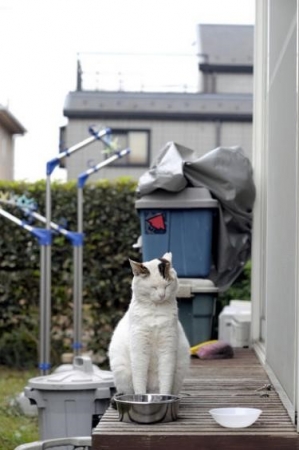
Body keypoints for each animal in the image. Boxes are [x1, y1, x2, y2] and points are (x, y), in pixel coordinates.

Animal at [109, 251, 191, 396]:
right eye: (153, 287)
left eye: (167, 285)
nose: (162, 295)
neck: (155, 313)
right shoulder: (139, 348)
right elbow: (139, 379)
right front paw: (140, 396)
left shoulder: (167, 347)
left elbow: (166, 379)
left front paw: (164, 397)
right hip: (121, 370)